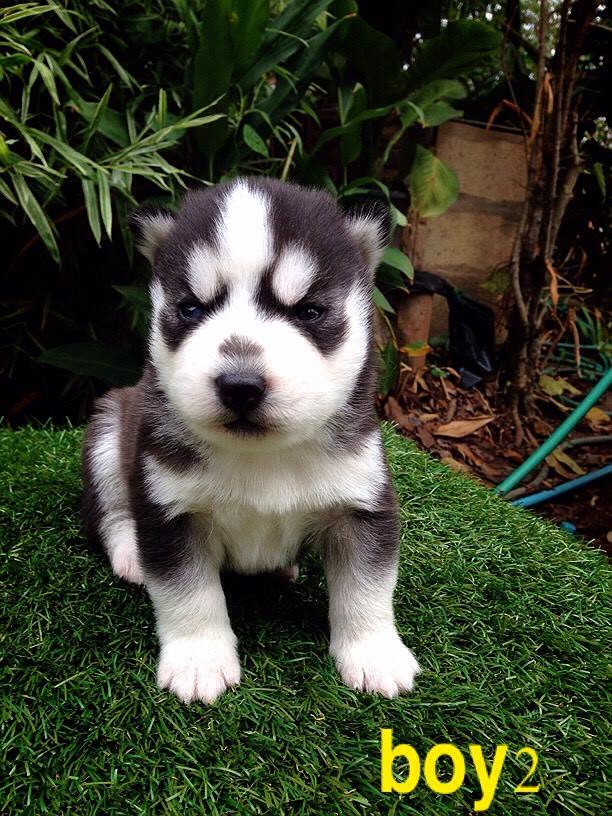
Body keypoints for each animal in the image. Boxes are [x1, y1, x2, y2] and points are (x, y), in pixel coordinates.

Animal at [81, 177, 420, 703]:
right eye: (191, 308)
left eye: (309, 311)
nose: (240, 385)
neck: (264, 457)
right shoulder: (169, 508)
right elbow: (188, 594)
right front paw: (199, 660)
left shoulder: (361, 503)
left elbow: (368, 588)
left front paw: (374, 654)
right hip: (109, 427)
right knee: (112, 510)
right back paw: (131, 552)